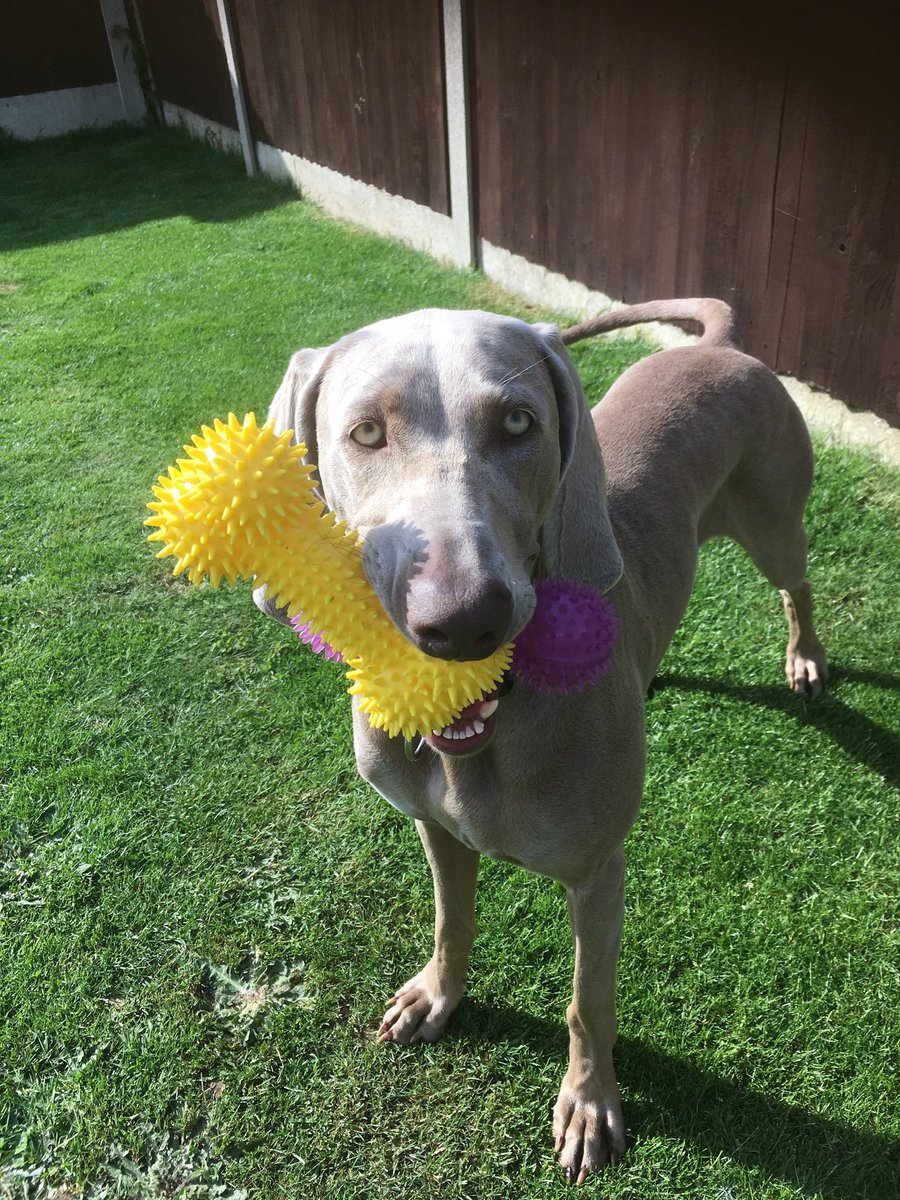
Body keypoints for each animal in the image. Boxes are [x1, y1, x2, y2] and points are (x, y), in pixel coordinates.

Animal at [254, 300, 830, 1180]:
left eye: (519, 422)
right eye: (366, 433)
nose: (465, 621)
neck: (484, 729)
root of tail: (720, 346)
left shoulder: (597, 873)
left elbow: (589, 1002)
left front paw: (590, 1106)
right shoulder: (435, 826)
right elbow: (451, 918)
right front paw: (436, 996)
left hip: (774, 520)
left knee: (796, 581)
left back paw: (806, 658)